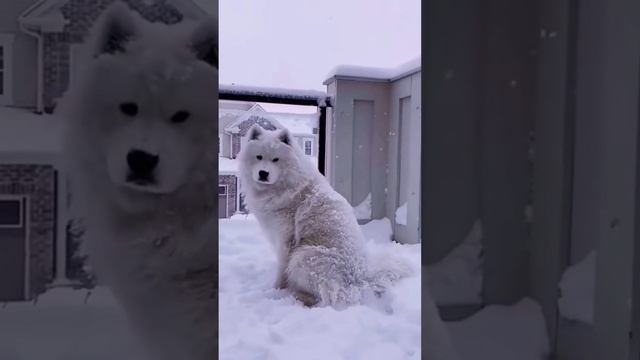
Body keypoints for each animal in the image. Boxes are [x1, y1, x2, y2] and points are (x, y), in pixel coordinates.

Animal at [239, 125, 410, 308]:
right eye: (259, 157)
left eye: (276, 159)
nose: (263, 173)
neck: (285, 186)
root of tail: (360, 279)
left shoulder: (286, 240)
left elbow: (282, 270)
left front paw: (276, 290)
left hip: (304, 256)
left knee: (323, 298)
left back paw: (297, 296)